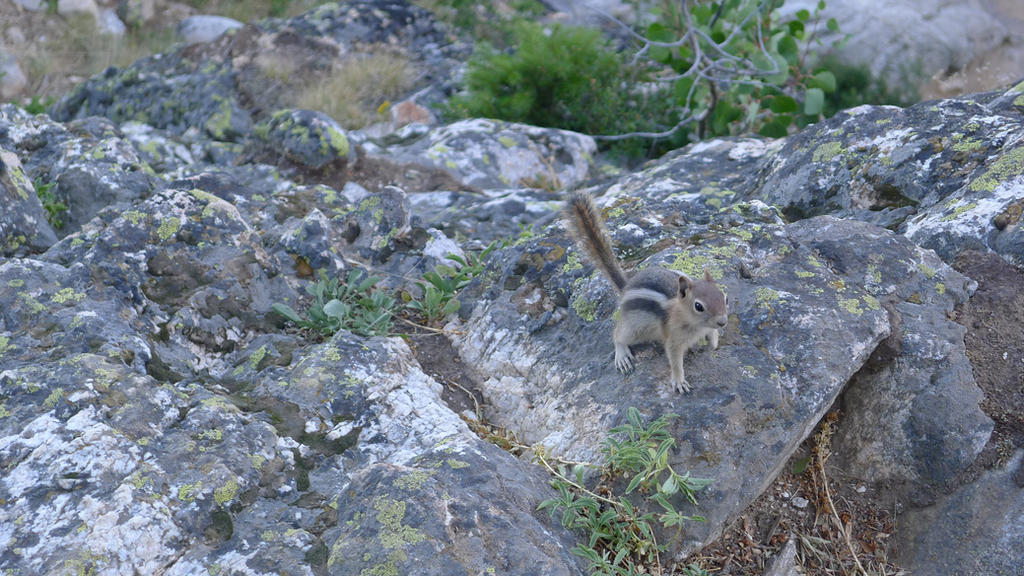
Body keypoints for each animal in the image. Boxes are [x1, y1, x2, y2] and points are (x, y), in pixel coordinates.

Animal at [565, 191, 728, 393]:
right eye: (699, 306)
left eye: (724, 298)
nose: (723, 322)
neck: (692, 322)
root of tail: (626, 287)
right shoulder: (673, 339)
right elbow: (675, 360)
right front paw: (679, 381)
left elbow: (712, 335)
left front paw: (712, 344)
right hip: (635, 328)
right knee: (618, 334)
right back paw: (622, 355)